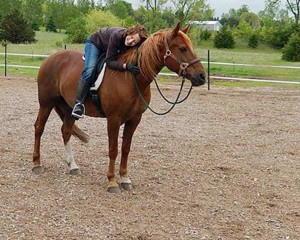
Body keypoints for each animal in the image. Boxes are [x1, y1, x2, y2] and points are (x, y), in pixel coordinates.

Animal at [32, 22, 206, 193]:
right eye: (183, 48)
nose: (202, 76)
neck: (130, 78)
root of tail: (50, 58)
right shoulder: (113, 120)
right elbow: (113, 149)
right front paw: (112, 181)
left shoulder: (134, 120)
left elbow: (126, 149)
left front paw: (125, 178)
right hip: (46, 103)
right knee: (39, 128)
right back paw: (36, 163)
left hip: (69, 108)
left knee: (66, 131)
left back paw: (73, 166)